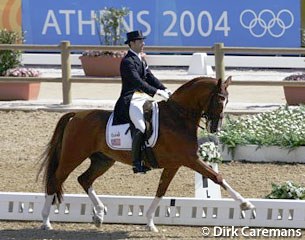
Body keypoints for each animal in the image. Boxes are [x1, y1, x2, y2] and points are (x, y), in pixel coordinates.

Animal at [36, 76, 253, 231]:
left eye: (227, 100)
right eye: (220, 99)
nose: (215, 127)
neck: (178, 117)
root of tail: (76, 115)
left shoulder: (174, 164)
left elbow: (161, 190)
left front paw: (149, 222)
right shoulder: (191, 160)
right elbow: (216, 176)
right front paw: (246, 205)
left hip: (103, 160)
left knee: (84, 179)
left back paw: (99, 214)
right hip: (73, 156)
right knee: (56, 180)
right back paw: (46, 221)